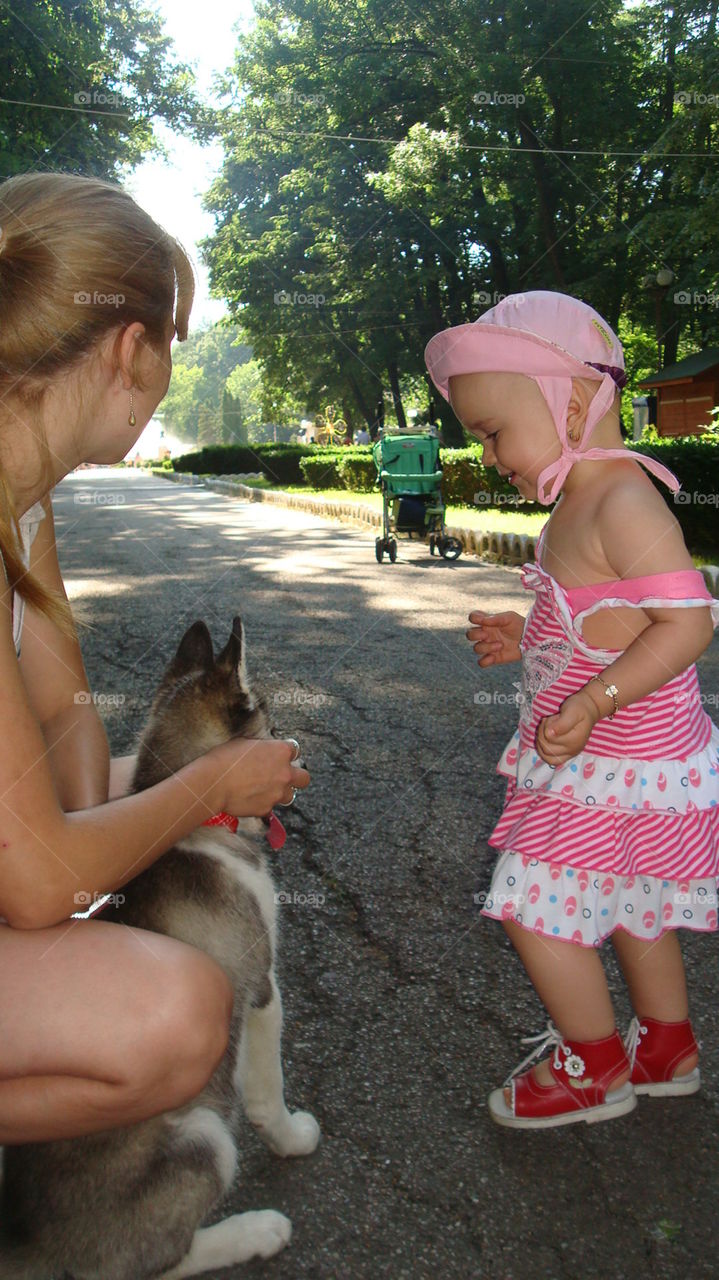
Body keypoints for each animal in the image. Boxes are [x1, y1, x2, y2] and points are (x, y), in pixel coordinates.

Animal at [0, 614, 318, 1274]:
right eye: (272, 725)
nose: (299, 758)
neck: (200, 825)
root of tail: (30, 1242)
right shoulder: (262, 988)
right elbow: (268, 1089)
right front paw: (292, 1138)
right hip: (204, 1141)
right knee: (161, 1262)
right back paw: (255, 1231)